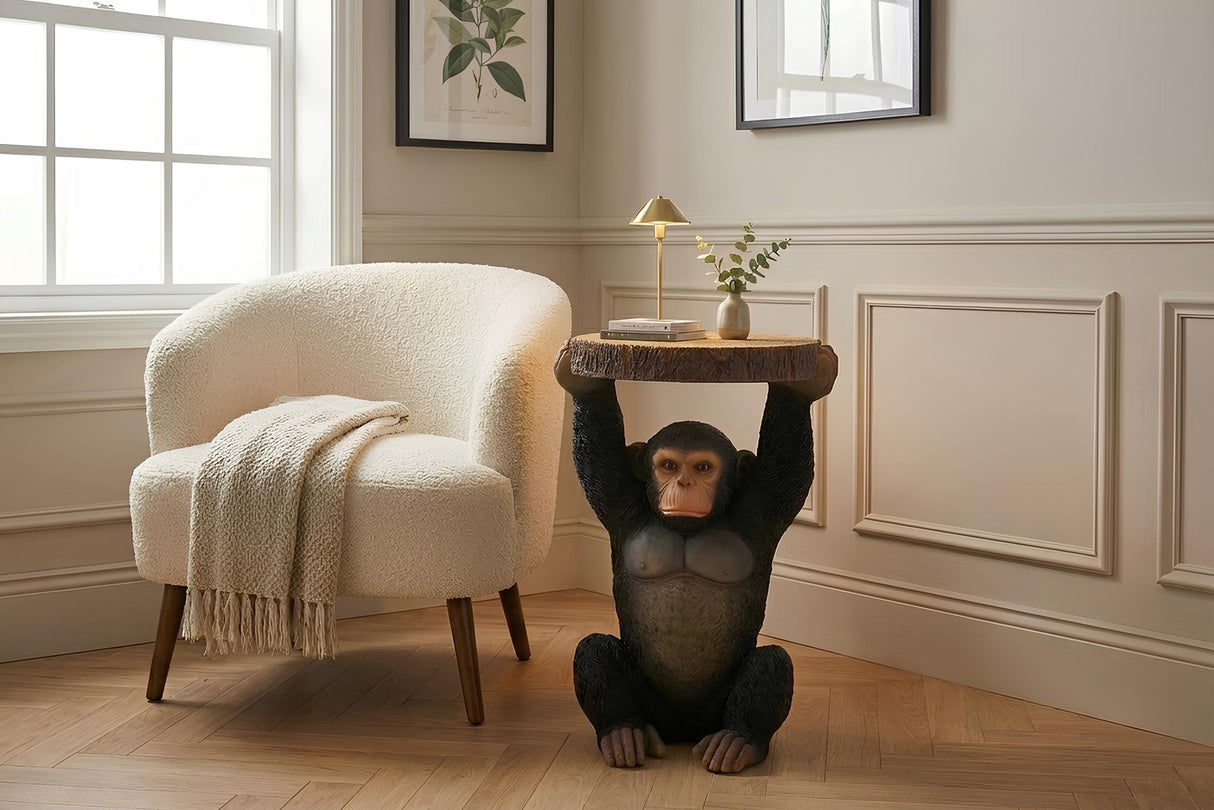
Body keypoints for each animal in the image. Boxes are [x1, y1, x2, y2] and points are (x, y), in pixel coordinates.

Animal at [553, 341, 838, 773]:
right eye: (669, 465)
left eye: (703, 467)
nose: (684, 483)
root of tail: (683, 731)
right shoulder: (620, 504)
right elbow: (598, 458)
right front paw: (582, 382)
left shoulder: (761, 511)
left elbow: (787, 467)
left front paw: (802, 387)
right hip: (655, 708)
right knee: (592, 648)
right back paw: (624, 732)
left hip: (712, 713)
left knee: (772, 661)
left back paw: (738, 740)